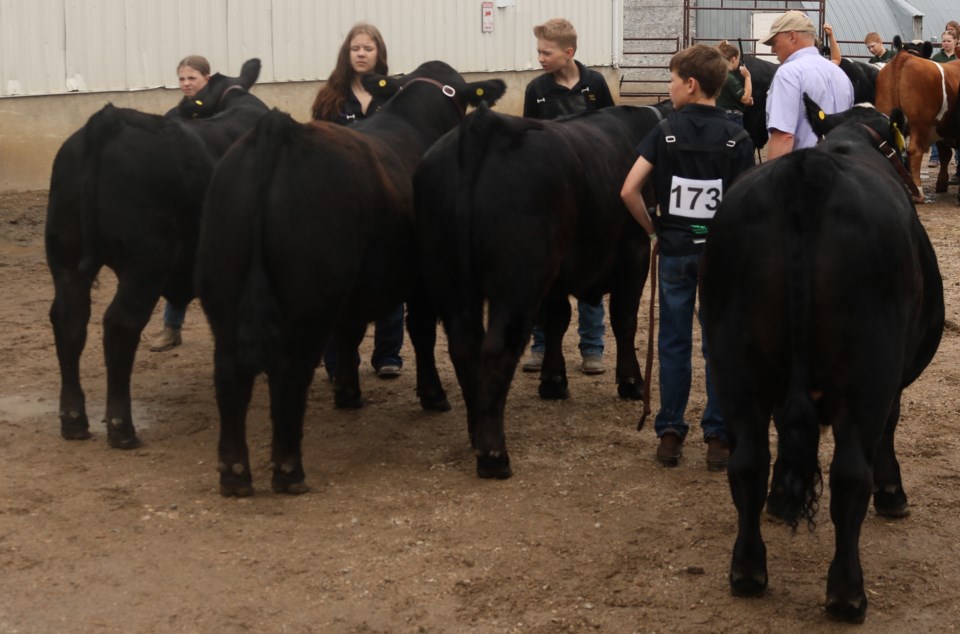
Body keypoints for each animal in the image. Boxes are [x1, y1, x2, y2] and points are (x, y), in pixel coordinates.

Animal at [46, 58, 266, 444]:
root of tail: (109, 120)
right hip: (146, 262)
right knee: (120, 324)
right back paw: (121, 426)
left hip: (65, 256)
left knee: (69, 319)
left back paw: (73, 419)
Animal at [197, 60, 510, 494]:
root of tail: (279, 130)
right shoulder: (424, 281)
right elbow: (422, 333)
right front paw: (432, 394)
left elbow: (349, 332)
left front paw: (347, 391)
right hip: (308, 300)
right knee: (288, 371)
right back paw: (289, 471)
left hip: (223, 291)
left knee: (229, 372)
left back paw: (235, 474)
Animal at [412, 102, 668, 474]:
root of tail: (485, 123)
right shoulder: (634, 255)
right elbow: (624, 322)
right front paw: (631, 382)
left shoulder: (555, 278)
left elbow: (558, 321)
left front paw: (553, 380)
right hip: (517, 282)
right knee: (496, 349)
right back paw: (493, 455)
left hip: (452, 280)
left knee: (463, 347)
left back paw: (476, 432)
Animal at [700, 96, 940, 620]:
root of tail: (806, 173)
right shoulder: (890, 379)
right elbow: (888, 432)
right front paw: (892, 494)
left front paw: (775, 501)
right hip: (867, 375)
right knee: (850, 475)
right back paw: (847, 594)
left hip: (733, 365)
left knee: (748, 461)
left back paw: (747, 570)